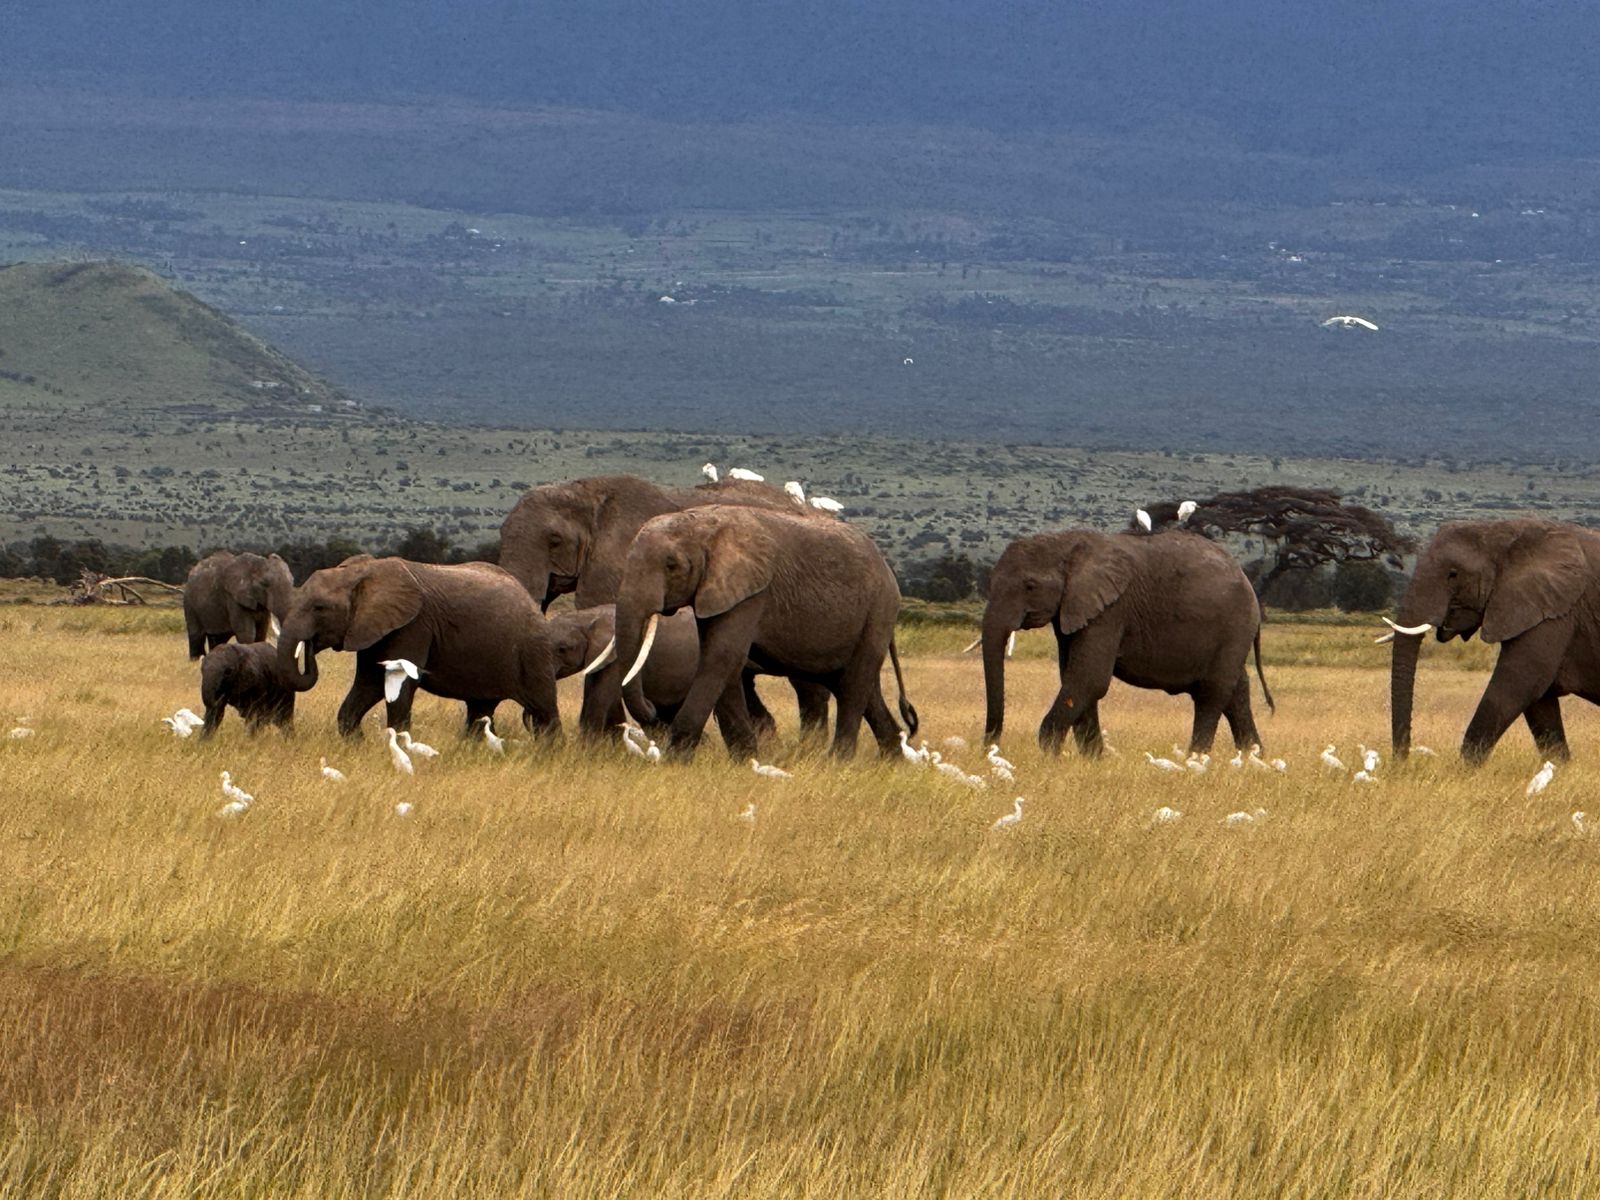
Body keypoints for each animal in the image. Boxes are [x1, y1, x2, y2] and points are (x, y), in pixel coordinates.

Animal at [276, 556, 560, 739]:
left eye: (319, 608)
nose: (309, 646)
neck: (362, 571)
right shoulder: (371, 629)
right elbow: (368, 685)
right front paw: (357, 745)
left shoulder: (413, 625)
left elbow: (398, 685)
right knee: (481, 710)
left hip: (533, 650)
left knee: (543, 709)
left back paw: (548, 755)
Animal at [610, 506, 917, 760]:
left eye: (671, 565)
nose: (653, 709)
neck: (704, 523)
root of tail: (889, 571)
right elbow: (724, 663)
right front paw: (745, 759)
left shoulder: (752, 592)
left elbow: (721, 658)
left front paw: (675, 761)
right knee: (858, 688)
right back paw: (893, 761)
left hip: (878, 611)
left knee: (854, 686)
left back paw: (838, 762)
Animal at [981, 530, 1271, 756]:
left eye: (1030, 586)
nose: (990, 748)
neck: (1066, 541)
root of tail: (1248, 582)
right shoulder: (1075, 610)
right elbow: (1076, 679)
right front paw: (1094, 760)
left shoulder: (1110, 611)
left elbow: (1089, 679)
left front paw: (1050, 754)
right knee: (1236, 691)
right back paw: (1253, 758)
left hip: (1234, 626)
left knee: (1212, 692)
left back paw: (1195, 759)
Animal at [1388, 518, 1600, 765]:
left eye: (1453, 574)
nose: (1402, 763)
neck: (1502, 531)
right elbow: (1540, 703)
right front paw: (1559, 768)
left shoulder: (1556, 613)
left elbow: (1514, 687)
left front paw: (1463, 770)